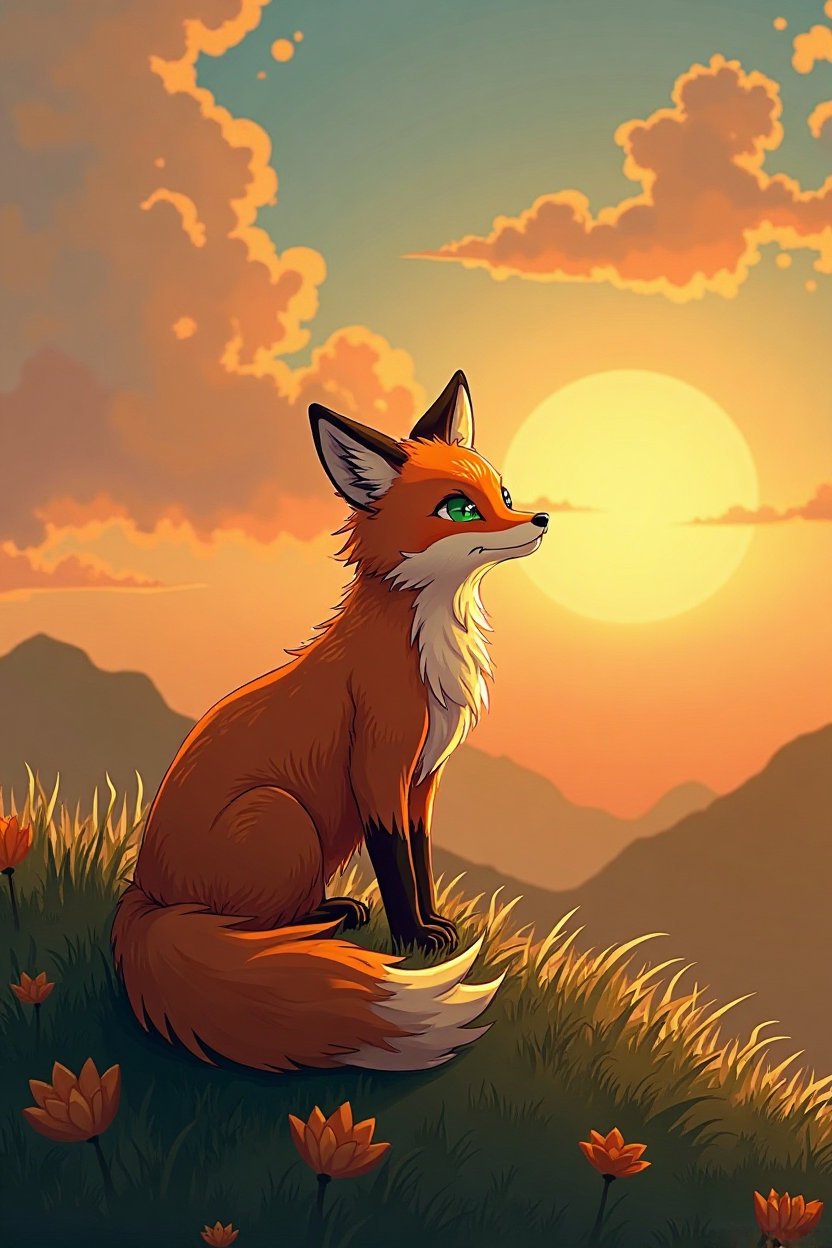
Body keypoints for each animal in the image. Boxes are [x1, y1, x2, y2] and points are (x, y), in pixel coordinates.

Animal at [111, 370, 549, 1073]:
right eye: (459, 508)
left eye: (502, 494)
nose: (539, 518)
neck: (429, 649)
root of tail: (145, 892)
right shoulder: (379, 766)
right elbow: (395, 863)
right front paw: (415, 940)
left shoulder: (422, 779)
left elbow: (421, 856)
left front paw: (434, 925)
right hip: (281, 817)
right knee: (249, 931)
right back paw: (323, 927)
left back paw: (332, 910)